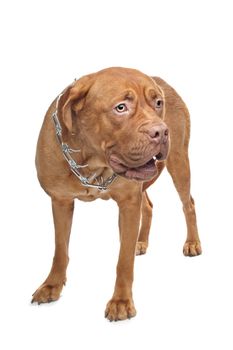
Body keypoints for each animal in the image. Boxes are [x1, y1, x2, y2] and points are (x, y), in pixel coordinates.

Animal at [31, 67, 201, 322]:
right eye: (121, 107)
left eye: (157, 103)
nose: (161, 131)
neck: (91, 162)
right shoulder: (60, 201)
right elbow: (60, 249)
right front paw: (52, 286)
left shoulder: (128, 203)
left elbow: (124, 260)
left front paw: (121, 302)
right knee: (148, 206)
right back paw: (141, 241)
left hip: (179, 161)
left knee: (188, 203)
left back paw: (192, 243)